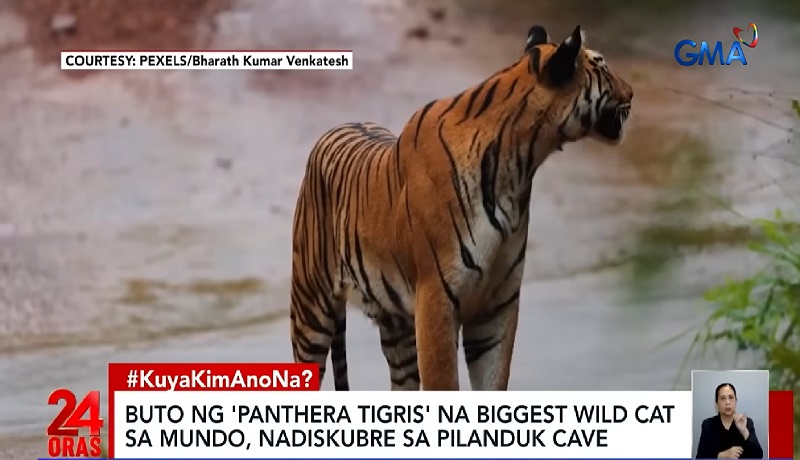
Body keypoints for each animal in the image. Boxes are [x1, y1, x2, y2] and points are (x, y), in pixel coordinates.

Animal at [289, 24, 633, 391]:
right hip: (311, 312)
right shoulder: (436, 302)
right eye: (603, 64)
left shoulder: (497, 307)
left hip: (397, 328)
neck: (519, 165)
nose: (633, 92)